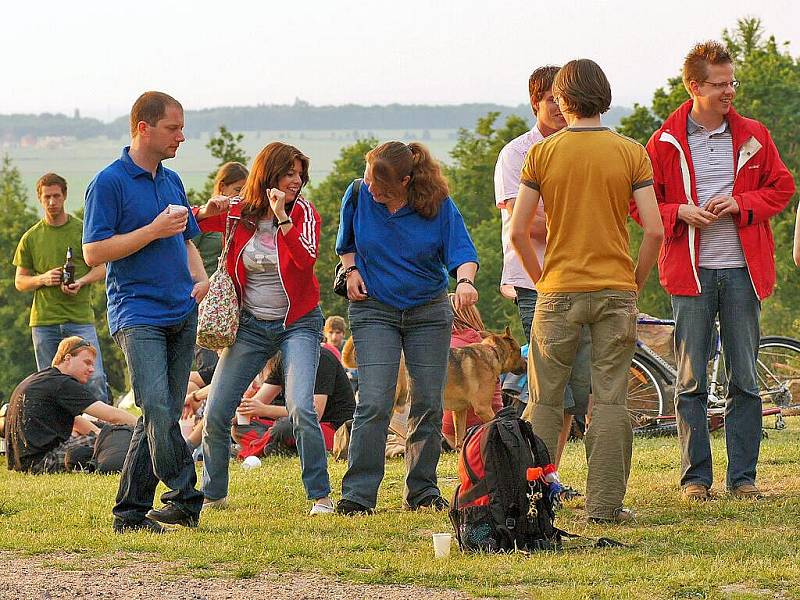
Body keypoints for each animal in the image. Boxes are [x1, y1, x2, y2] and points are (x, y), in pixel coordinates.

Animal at [342, 328, 524, 450]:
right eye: (519, 351)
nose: (526, 363)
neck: (493, 352)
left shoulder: (460, 411)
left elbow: (460, 437)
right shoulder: (484, 408)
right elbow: (497, 420)